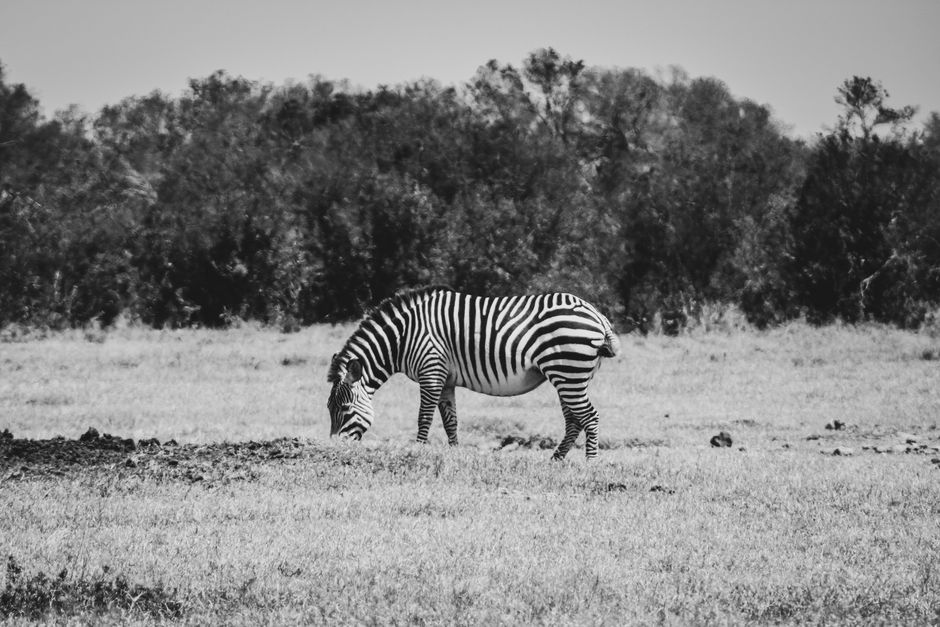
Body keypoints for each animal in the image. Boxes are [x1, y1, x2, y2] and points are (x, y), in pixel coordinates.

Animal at [327, 286, 620, 460]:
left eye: (344, 409)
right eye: (330, 409)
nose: (334, 448)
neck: (404, 336)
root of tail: (597, 315)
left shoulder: (430, 371)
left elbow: (424, 418)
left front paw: (417, 451)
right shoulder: (445, 379)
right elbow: (450, 421)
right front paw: (454, 453)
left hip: (568, 372)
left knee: (589, 416)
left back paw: (589, 464)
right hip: (569, 375)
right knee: (574, 420)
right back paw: (556, 460)